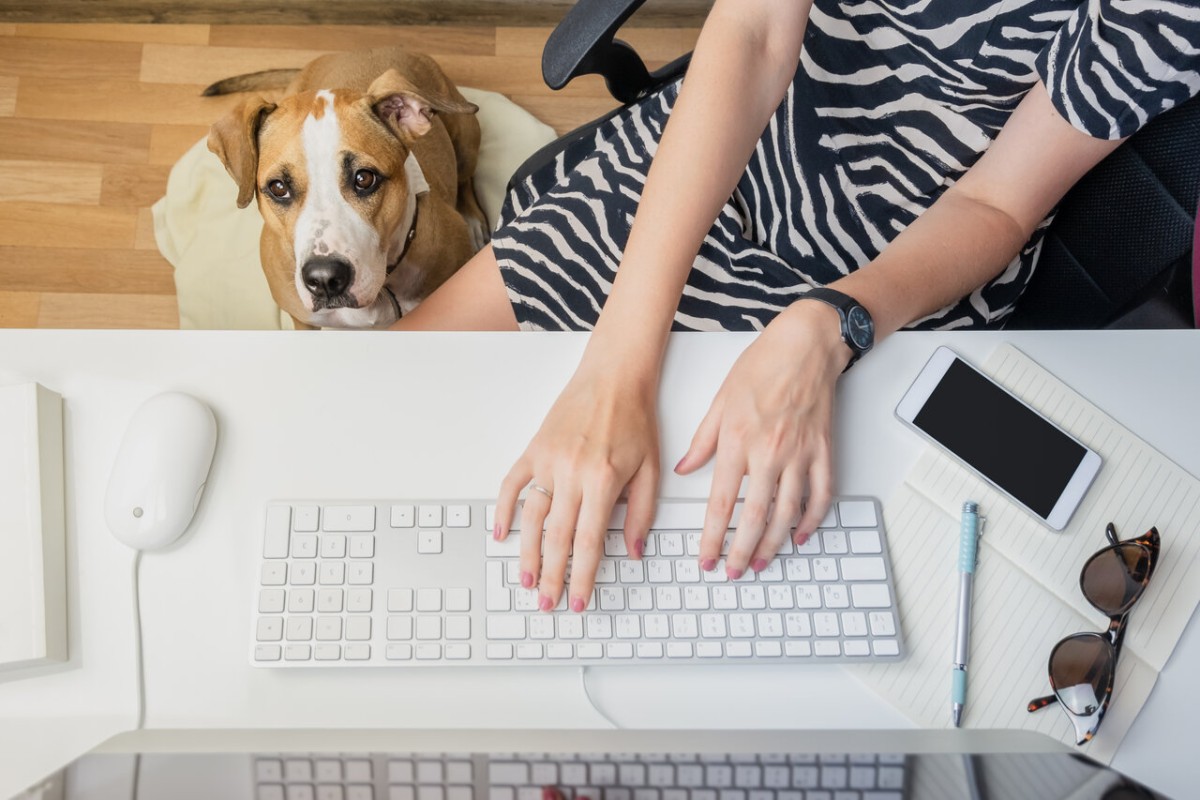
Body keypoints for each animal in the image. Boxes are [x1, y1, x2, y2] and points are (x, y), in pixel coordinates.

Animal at [206, 47, 487, 328]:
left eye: (364, 179)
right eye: (278, 188)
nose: (324, 279)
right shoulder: (303, 321)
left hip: (465, 138)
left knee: (466, 177)